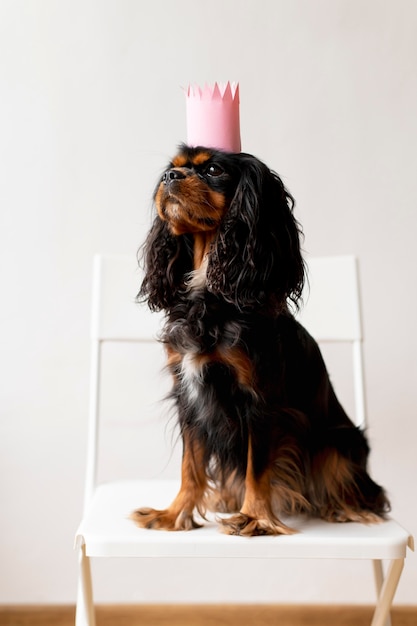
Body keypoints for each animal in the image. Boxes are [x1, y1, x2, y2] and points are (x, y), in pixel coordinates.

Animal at [131, 144, 390, 532]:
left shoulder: (259, 399)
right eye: (172, 169)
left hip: (338, 443)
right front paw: (174, 514)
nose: (170, 177)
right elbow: (190, 466)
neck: (211, 285)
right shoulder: (189, 394)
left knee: (362, 487)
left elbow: (258, 467)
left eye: (213, 169)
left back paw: (343, 507)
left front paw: (255, 518)